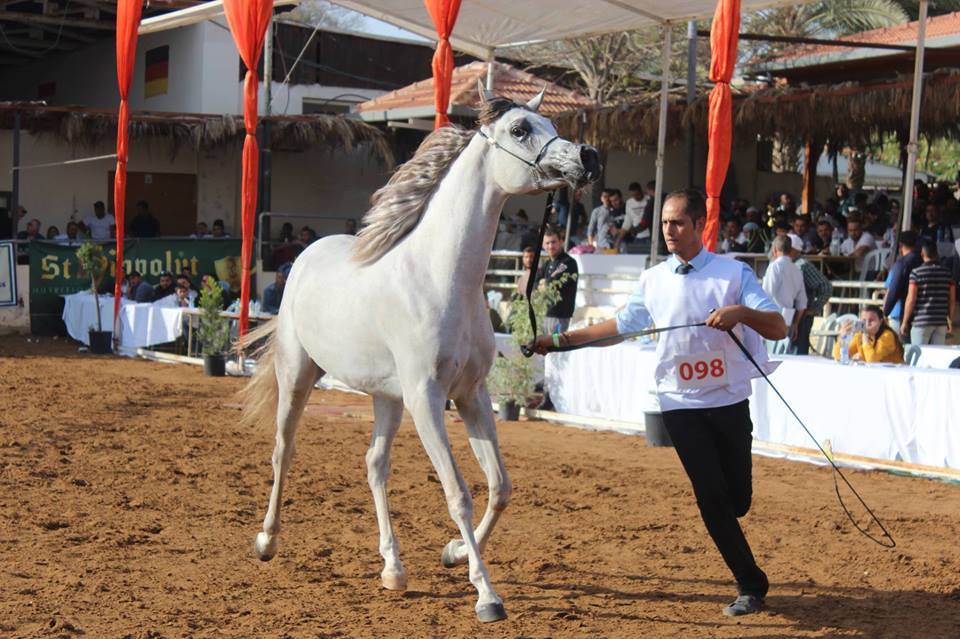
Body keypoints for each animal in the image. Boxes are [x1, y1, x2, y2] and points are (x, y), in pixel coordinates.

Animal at [242, 81, 600, 624]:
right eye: (520, 128)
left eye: (555, 126)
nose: (588, 157)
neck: (441, 278)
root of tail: (307, 255)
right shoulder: (428, 399)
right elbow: (459, 494)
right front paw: (486, 596)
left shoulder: (471, 395)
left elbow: (500, 487)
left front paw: (453, 553)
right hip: (299, 374)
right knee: (284, 450)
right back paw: (267, 541)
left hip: (387, 397)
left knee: (374, 464)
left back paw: (394, 568)